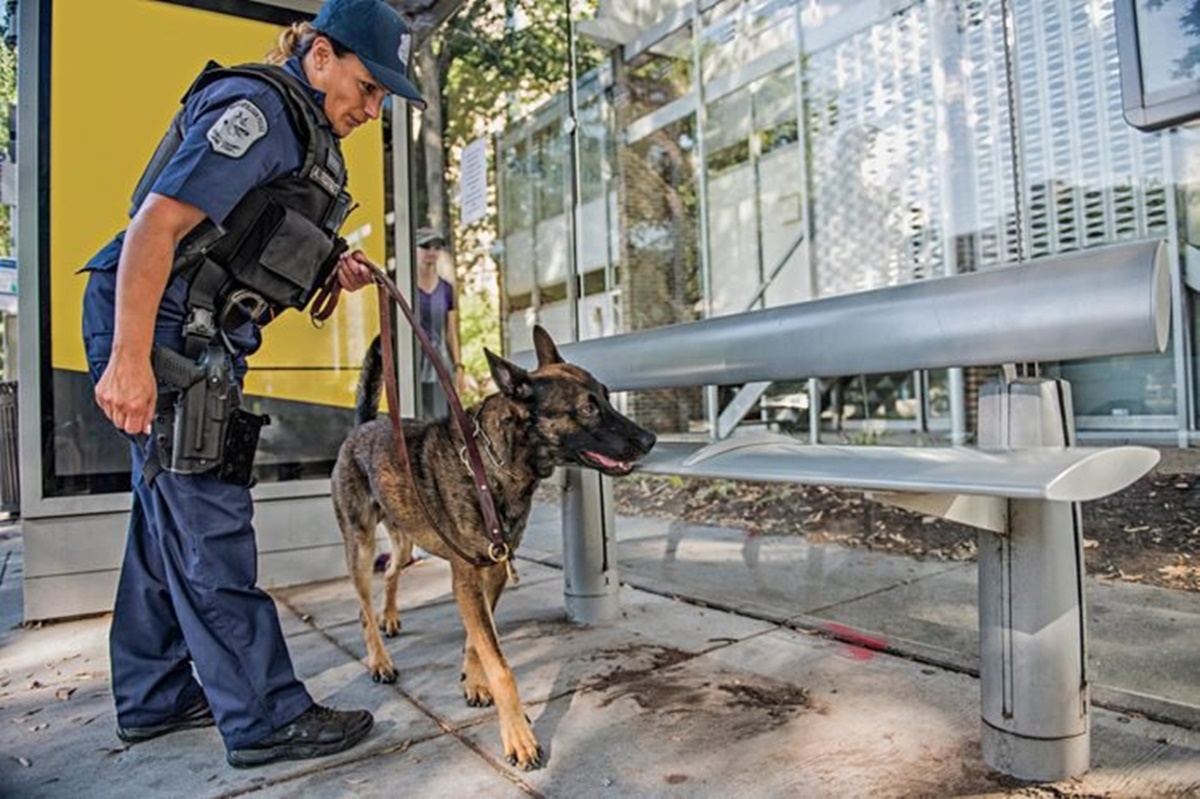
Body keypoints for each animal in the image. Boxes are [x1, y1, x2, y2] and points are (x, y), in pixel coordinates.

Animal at [331, 323, 657, 767]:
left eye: (606, 396)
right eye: (587, 409)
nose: (651, 438)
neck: (491, 465)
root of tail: (361, 427)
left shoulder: (493, 572)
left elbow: (477, 642)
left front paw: (474, 683)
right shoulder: (467, 579)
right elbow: (500, 664)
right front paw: (518, 736)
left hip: (403, 543)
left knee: (392, 574)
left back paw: (391, 618)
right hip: (361, 547)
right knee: (363, 607)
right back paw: (379, 659)